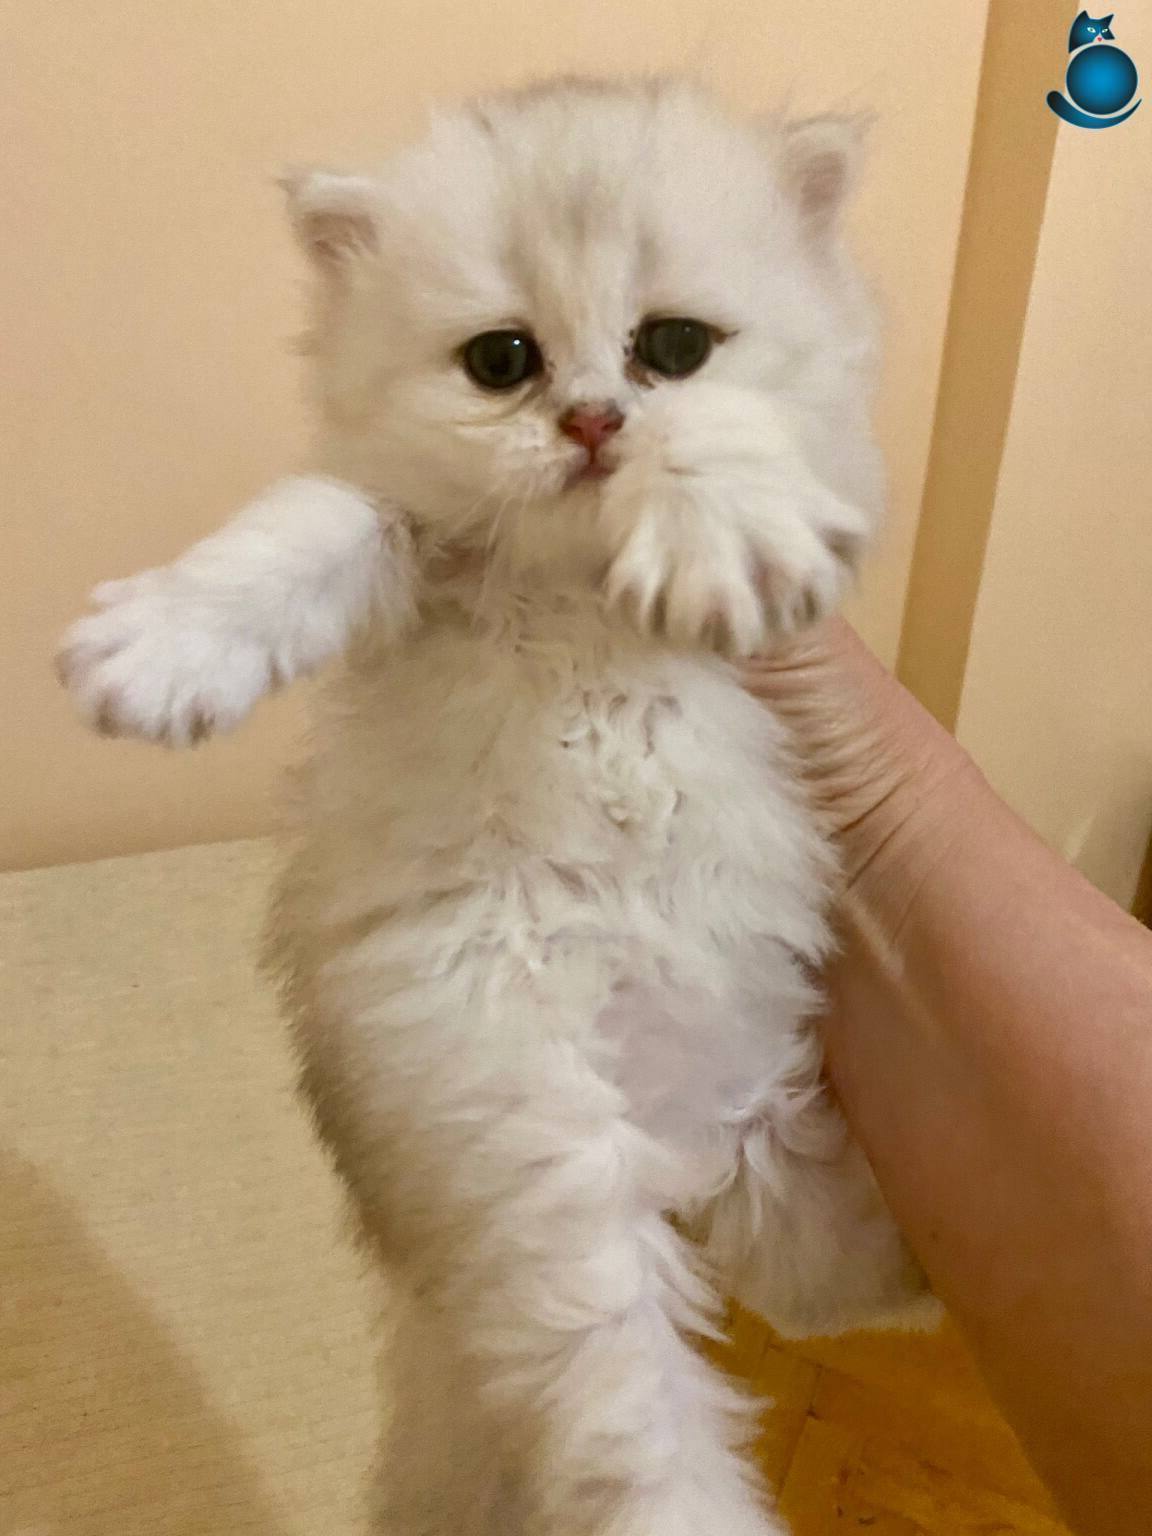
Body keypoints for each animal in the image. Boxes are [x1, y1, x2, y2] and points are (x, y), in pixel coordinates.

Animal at [57, 79, 937, 1536]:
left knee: (857, 1283)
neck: (584, 593)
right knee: (646, 1437)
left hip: (769, 1143)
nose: (590, 423)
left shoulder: (834, 494)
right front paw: (165, 650)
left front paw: (707, 522)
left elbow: (731, 450)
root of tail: (679, 1147)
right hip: (553, 1191)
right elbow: (305, 529)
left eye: (671, 347)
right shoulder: (395, 529)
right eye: (502, 363)